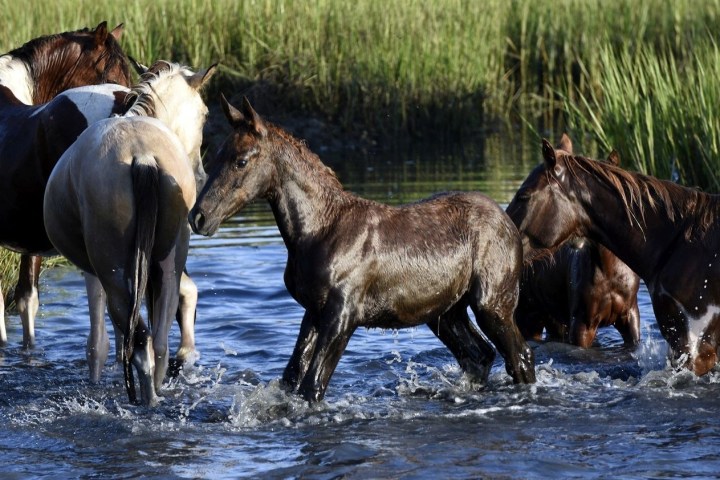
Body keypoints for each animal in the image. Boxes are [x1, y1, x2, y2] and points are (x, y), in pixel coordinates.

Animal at [44, 60, 216, 405]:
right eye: (205, 114)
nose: (201, 176)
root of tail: (142, 155)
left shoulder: (93, 273)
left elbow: (100, 341)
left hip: (115, 273)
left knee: (140, 345)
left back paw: (145, 401)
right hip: (169, 262)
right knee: (159, 342)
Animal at [189, 96, 536, 403]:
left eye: (241, 161)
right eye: (215, 155)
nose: (199, 217)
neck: (318, 230)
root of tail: (509, 223)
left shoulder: (343, 314)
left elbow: (312, 386)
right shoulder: (314, 311)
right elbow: (292, 379)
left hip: (492, 304)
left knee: (520, 356)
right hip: (446, 312)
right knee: (479, 355)